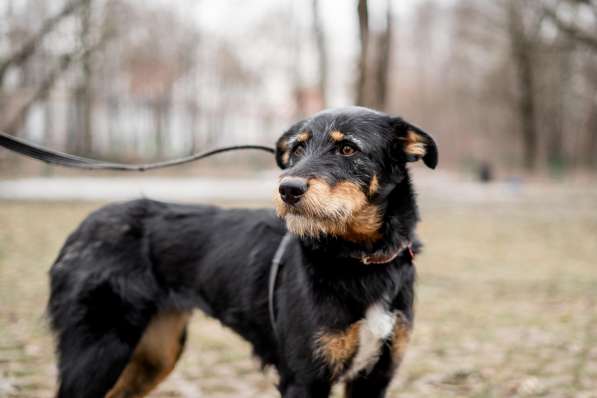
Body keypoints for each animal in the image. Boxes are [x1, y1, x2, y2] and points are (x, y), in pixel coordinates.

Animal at [47, 106, 438, 398]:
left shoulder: (374, 377)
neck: (361, 260)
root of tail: (83, 227)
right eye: (297, 149)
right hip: (97, 351)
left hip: (155, 354)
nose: (288, 189)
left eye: (348, 149)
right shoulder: (304, 377)